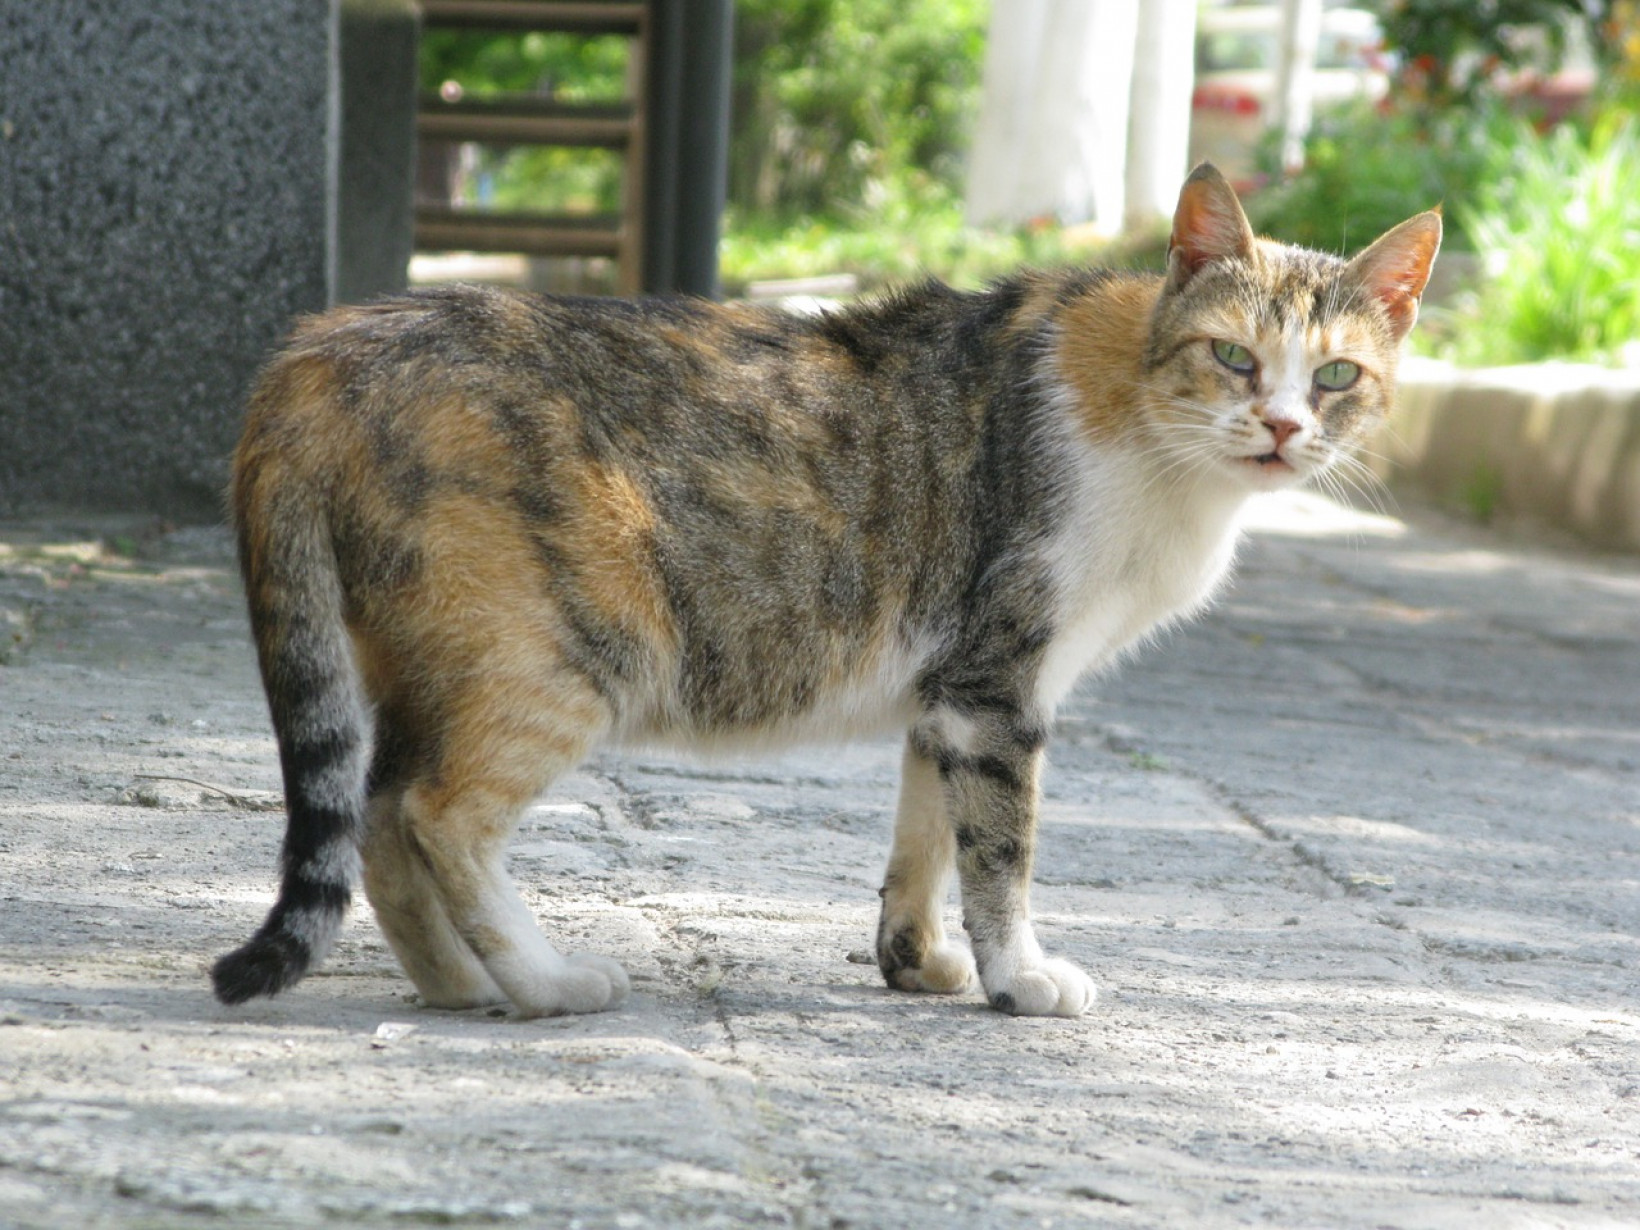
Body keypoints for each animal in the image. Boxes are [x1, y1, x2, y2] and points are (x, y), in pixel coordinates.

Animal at [214, 166, 1436, 1023]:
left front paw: (919, 961)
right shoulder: (1001, 683)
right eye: (1232, 358)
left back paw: (463, 987)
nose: (1280, 427)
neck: (1151, 427)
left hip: (432, 658)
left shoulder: (952, 688)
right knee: (437, 816)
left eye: (1336, 375)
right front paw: (1020, 978)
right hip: (567, 651)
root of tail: (319, 350)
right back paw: (545, 983)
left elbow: (928, 835)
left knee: (377, 814)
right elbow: (1002, 850)